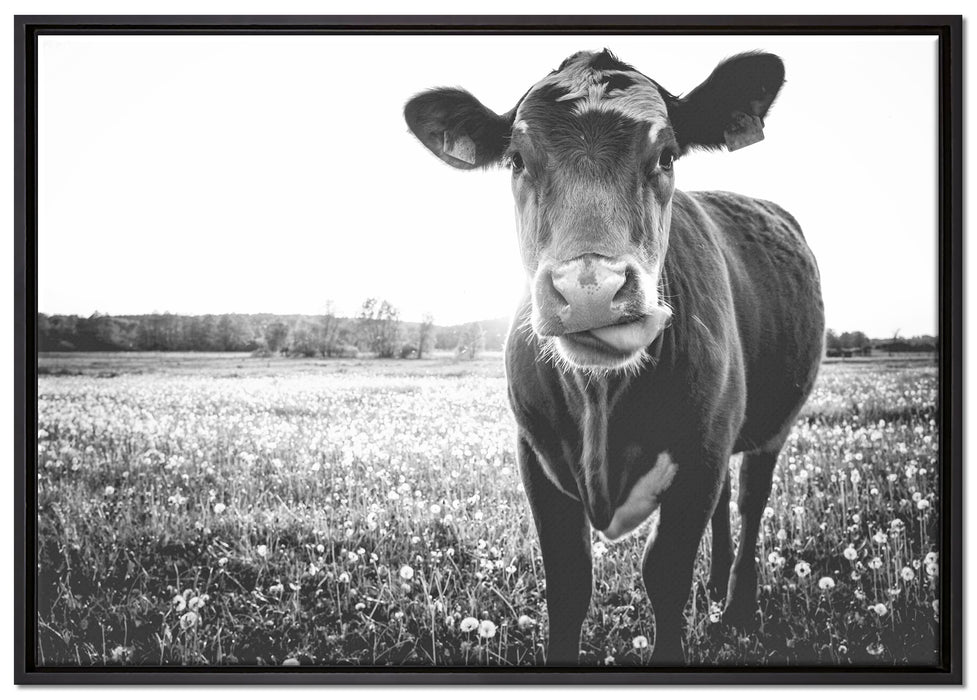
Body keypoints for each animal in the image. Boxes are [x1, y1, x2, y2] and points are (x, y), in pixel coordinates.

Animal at [404, 49, 824, 666]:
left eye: (667, 155)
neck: (601, 402)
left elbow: (665, 575)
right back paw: (716, 584)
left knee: (750, 500)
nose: (589, 289)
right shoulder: (537, 457)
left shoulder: (699, 456)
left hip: (771, 426)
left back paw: (738, 607)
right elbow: (569, 583)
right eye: (516, 160)